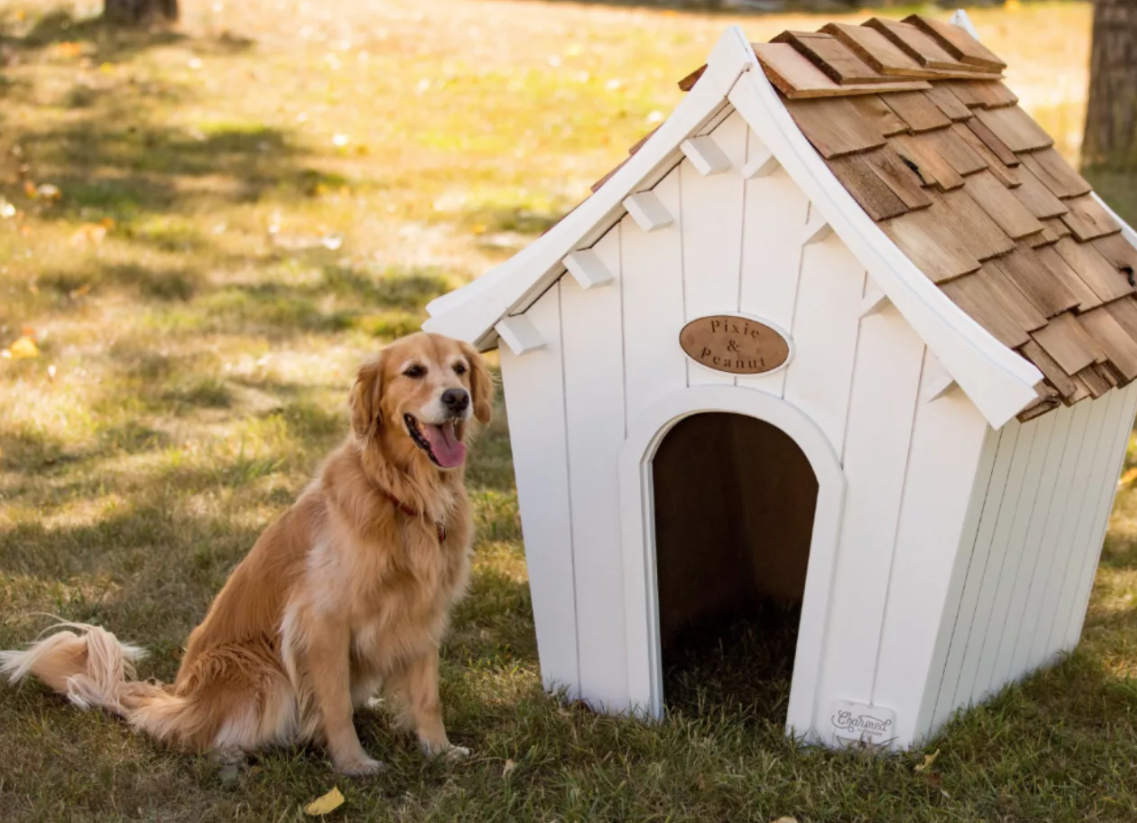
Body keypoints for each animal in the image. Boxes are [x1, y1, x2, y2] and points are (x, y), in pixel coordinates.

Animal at [4, 331, 493, 772]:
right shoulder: (321, 622)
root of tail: (176, 697)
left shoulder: (422, 614)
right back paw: (232, 755)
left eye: (459, 368)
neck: (405, 497)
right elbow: (333, 704)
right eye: (413, 371)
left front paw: (439, 750)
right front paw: (353, 764)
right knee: (192, 734)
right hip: (262, 673)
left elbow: (427, 698)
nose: (458, 398)